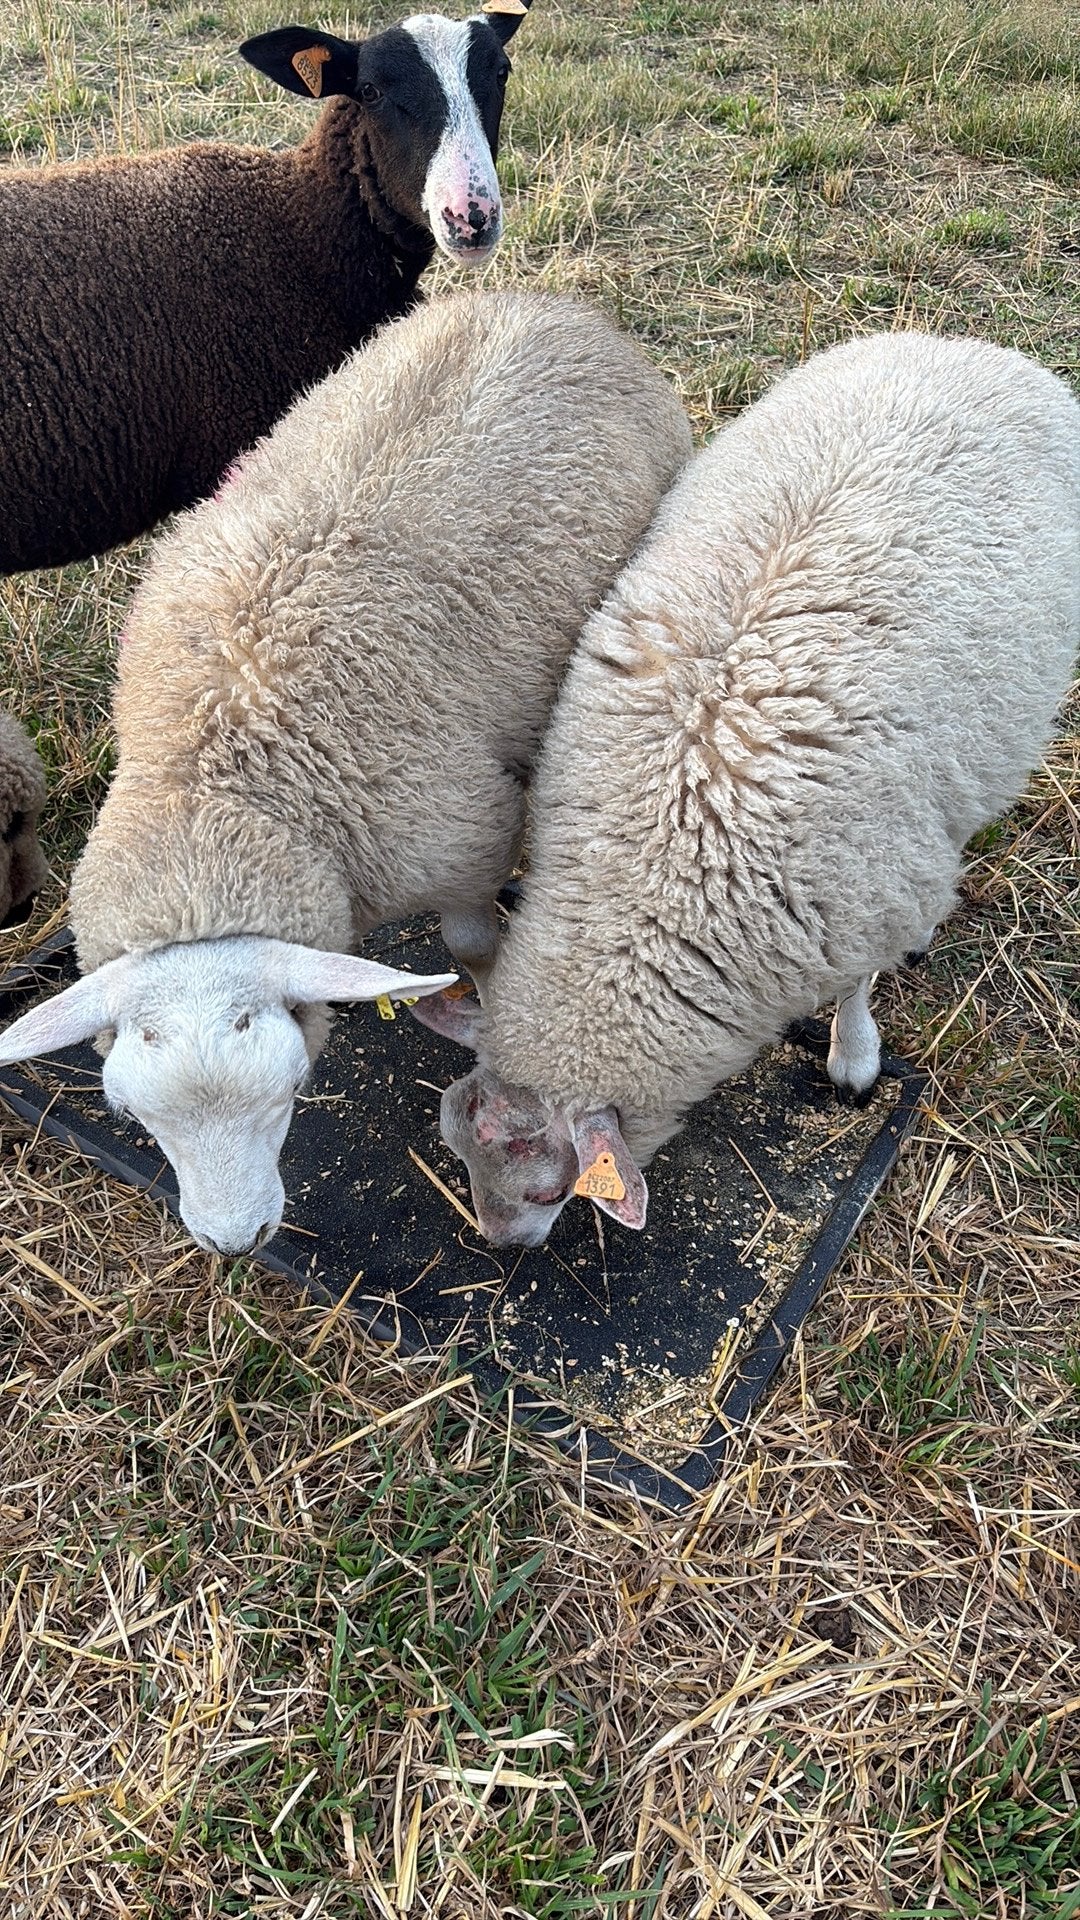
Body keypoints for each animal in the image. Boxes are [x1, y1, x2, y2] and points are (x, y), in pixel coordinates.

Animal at [0, 287, 693, 1258]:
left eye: (294, 1091)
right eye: (132, 1117)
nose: (235, 1242)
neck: (219, 790)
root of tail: (538, 302)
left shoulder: (467, 838)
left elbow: (472, 947)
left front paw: (483, 1014)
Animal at [412, 330, 1080, 1247]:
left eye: (551, 1192)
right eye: (455, 1149)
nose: (502, 1248)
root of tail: (964, 347)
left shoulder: (863, 894)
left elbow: (856, 986)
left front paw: (855, 1058)